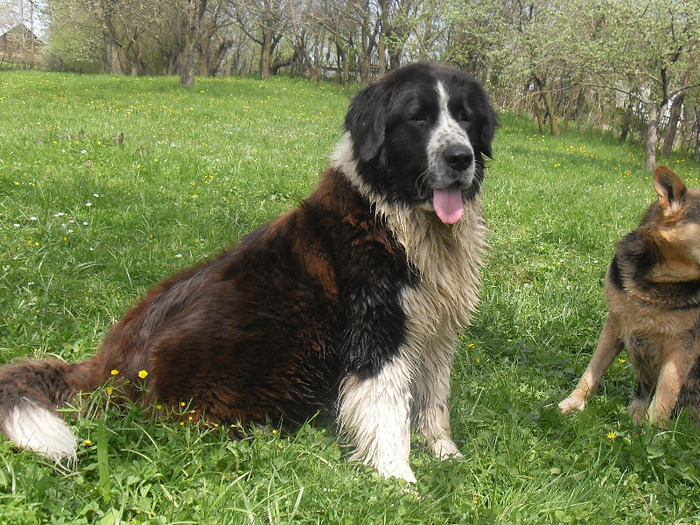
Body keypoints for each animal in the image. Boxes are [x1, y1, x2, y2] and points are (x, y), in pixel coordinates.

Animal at [0, 61, 494, 484]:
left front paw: (447, 454)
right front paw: (399, 479)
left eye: (464, 117)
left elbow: (434, 401)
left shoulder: (436, 329)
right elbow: (388, 410)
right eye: (418, 118)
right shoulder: (378, 331)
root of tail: (105, 367)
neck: (394, 217)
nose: (459, 157)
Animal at [560, 167, 700, 422]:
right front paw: (573, 404)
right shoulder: (615, 323)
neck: (658, 283)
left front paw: (651, 431)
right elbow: (592, 371)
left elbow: (664, 397)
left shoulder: (682, 347)